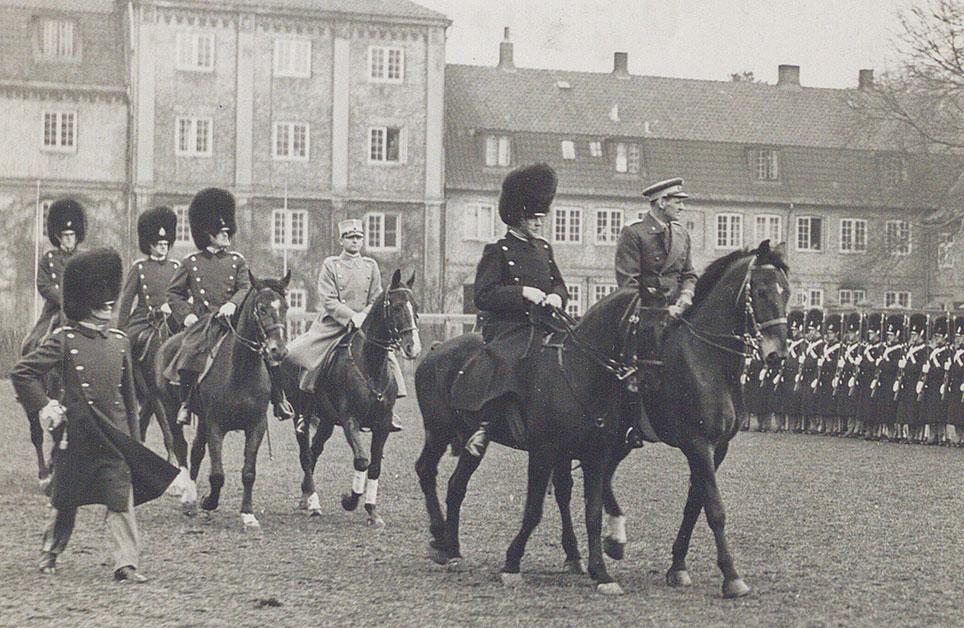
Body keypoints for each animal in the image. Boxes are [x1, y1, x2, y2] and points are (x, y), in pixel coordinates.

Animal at [154, 272, 288, 528]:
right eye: (262, 308)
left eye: (285, 307)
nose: (279, 351)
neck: (241, 370)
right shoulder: (216, 425)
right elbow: (217, 474)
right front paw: (208, 502)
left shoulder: (256, 426)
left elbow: (248, 472)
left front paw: (247, 514)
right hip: (170, 408)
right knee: (181, 447)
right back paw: (189, 497)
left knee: (196, 450)